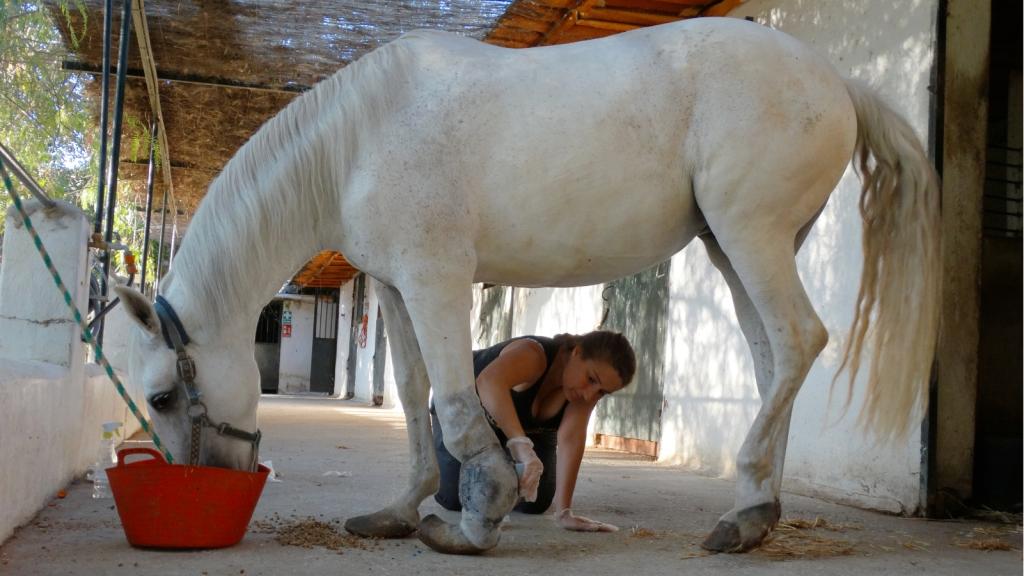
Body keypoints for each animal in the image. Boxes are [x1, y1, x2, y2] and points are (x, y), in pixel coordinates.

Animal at [115, 17, 940, 555]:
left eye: (162, 396)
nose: (210, 480)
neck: (359, 138)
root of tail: (836, 79)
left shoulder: (437, 279)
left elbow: (454, 404)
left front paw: (480, 514)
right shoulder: (394, 286)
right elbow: (412, 395)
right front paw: (400, 511)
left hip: (751, 235)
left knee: (800, 340)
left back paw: (742, 515)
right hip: (737, 247)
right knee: (773, 360)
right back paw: (759, 508)